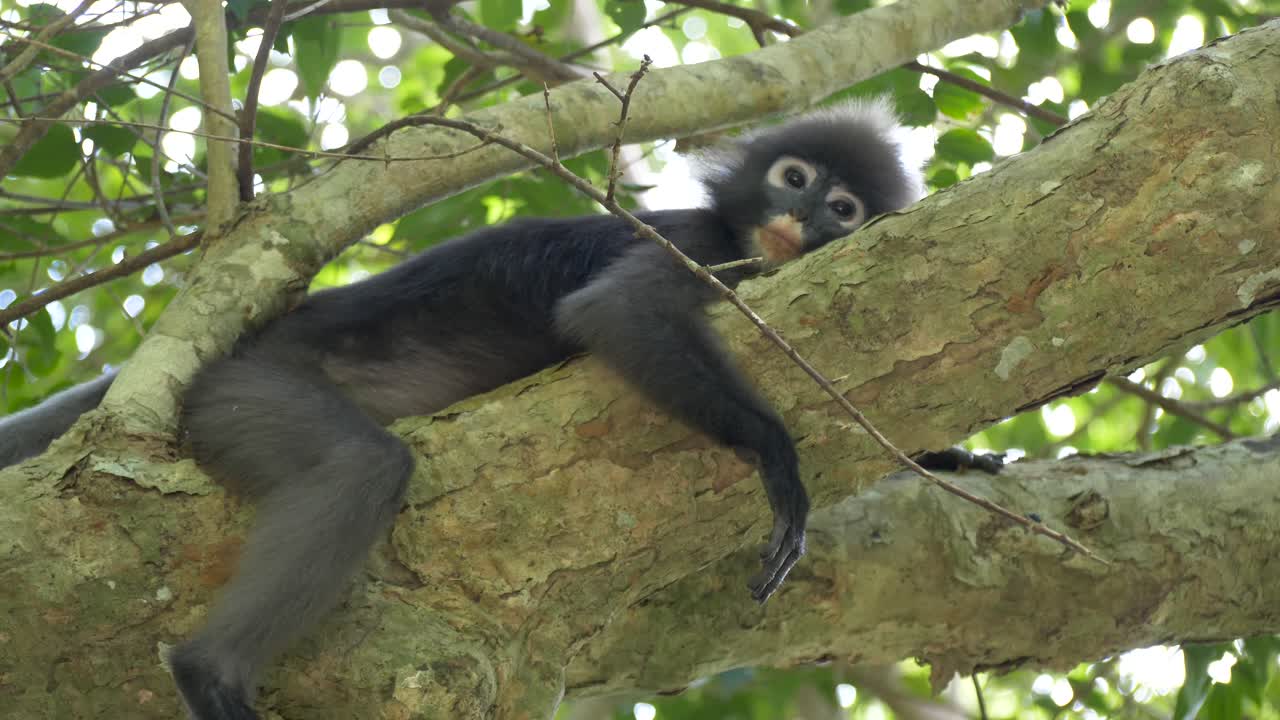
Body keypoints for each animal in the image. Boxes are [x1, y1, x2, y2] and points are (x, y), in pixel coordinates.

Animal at [0, 100, 1000, 719]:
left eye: (843, 207)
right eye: (793, 178)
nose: (803, 218)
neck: (744, 239)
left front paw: (952, 457)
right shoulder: (705, 249)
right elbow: (615, 314)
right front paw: (777, 459)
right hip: (246, 394)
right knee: (362, 466)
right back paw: (209, 674)